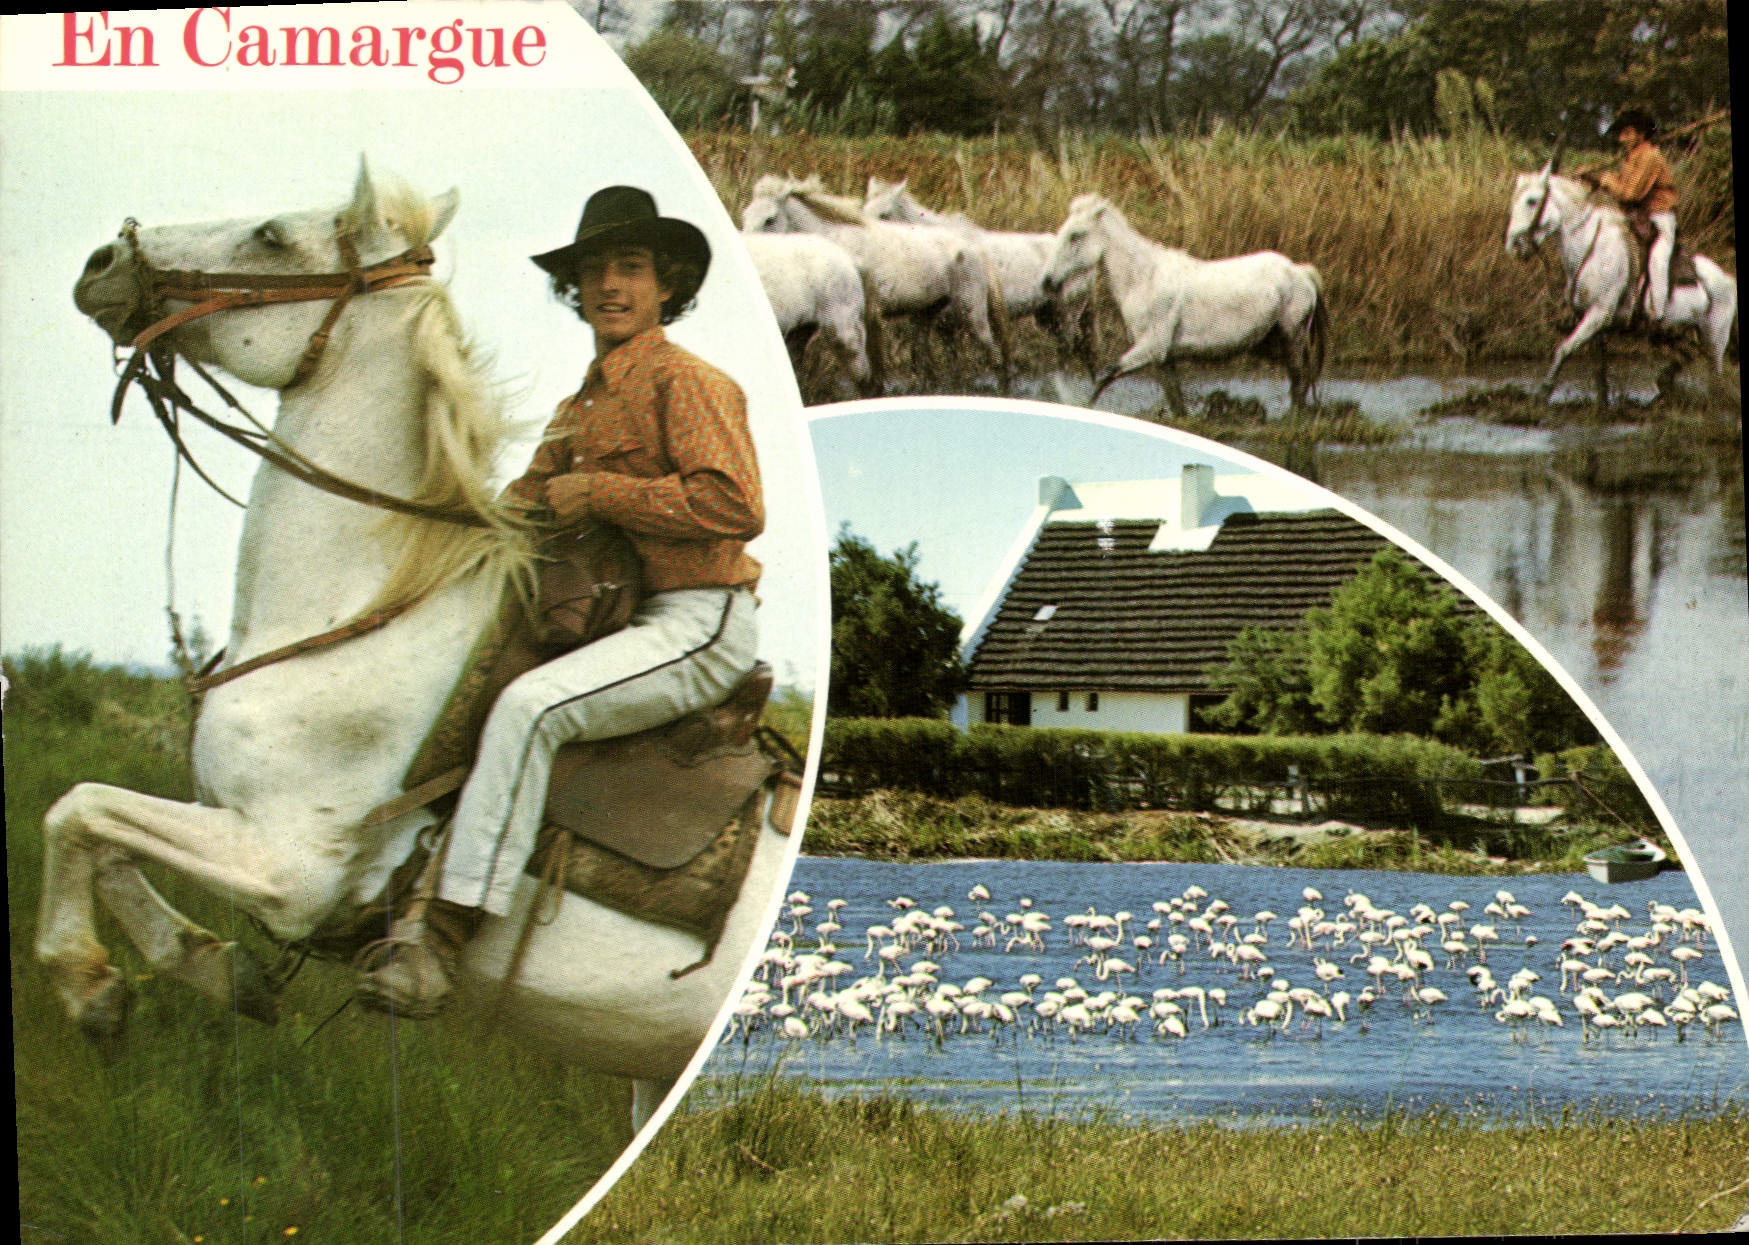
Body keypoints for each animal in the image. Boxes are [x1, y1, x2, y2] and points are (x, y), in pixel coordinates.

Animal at [48, 162, 796, 1134]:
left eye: (272, 235)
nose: (103, 262)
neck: (357, 611)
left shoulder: (289, 867)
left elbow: (80, 812)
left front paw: (90, 985)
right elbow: (94, 825)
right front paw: (207, 968)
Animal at [862, 176, 1097, 372]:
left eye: (884, 214)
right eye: (864, 209)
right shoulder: (945, 329)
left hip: (1067, 314)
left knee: (1070, 347)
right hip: (1048, 316)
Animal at [1039, 193, 1327, 418]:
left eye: (1075, 235)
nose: (1047, 281)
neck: (1144, 278)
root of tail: (1300, 272)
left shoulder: (1152, 348)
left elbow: (1105, 375)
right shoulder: (1164, 359)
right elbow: (1176, 403)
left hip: (1292, 337)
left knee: (1299, 380)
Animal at [1504, 167, 1737, 405]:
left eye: (1532, 201)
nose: (1513, 246)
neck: (1592, 248)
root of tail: (1727, 278)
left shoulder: (1599, 313)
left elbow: (1564, 349)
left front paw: (1544, 392)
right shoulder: (1594, 321)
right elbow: (1599, 368)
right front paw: (1603, 405)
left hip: (1715, 338)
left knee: (1714, 372)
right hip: (1679, 332)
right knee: (1690, 353)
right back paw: (1663, 383)